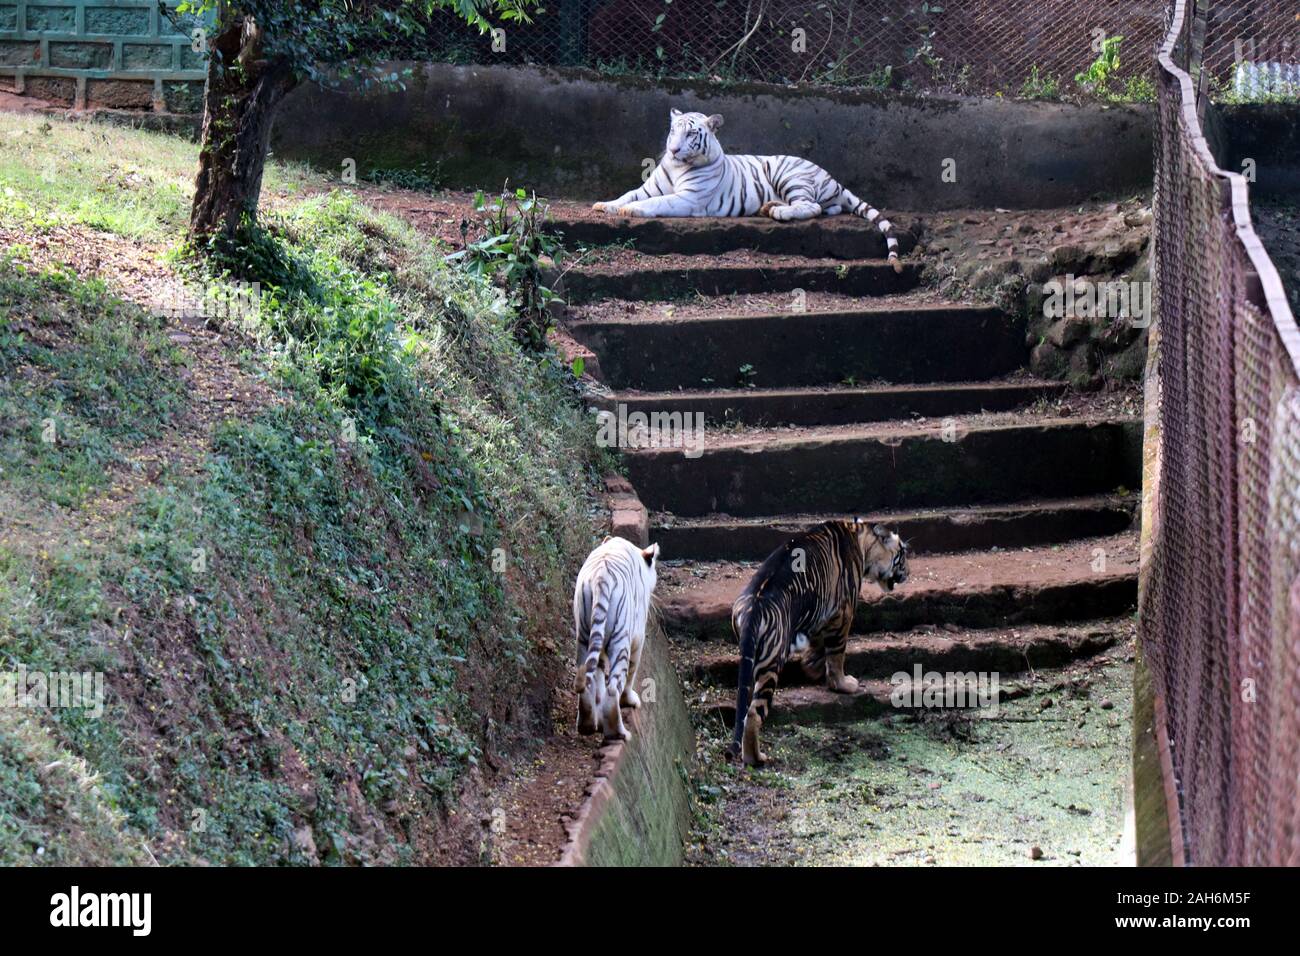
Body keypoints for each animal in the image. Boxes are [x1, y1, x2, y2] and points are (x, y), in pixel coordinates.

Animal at [574, 535, 660, 743]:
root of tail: (600, 579)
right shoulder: (637, 638)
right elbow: (632, 671)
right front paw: (629, 700)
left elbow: (598, 678)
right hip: (621, 641)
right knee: (614, 687)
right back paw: (619, 733)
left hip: (584, 637)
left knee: (587, 682)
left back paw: (587, 725)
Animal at [592, 110, 904, 270]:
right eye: (673, 131)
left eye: (691, 133)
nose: (673, 150)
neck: (679, 166)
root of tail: (830, 176)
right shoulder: (650, 187)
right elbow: (630, 194)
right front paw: (605, 205)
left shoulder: (688, 199)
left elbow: (655, 203)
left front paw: (629, 211)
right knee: (826, 207)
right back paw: (770, 207)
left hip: (786, 173)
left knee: (811, 206)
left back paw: (778, 212)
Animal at [728, 520, 909, 764]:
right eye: (903, 554)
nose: (908, 573)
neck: (862, 540)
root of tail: (753, 608)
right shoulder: (843, 611)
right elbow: (836, 654)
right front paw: (843, 684)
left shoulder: (819, 610)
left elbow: (818, 645)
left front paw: (811, 668)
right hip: (771, 662)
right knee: (754, 714)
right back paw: (756, 759)